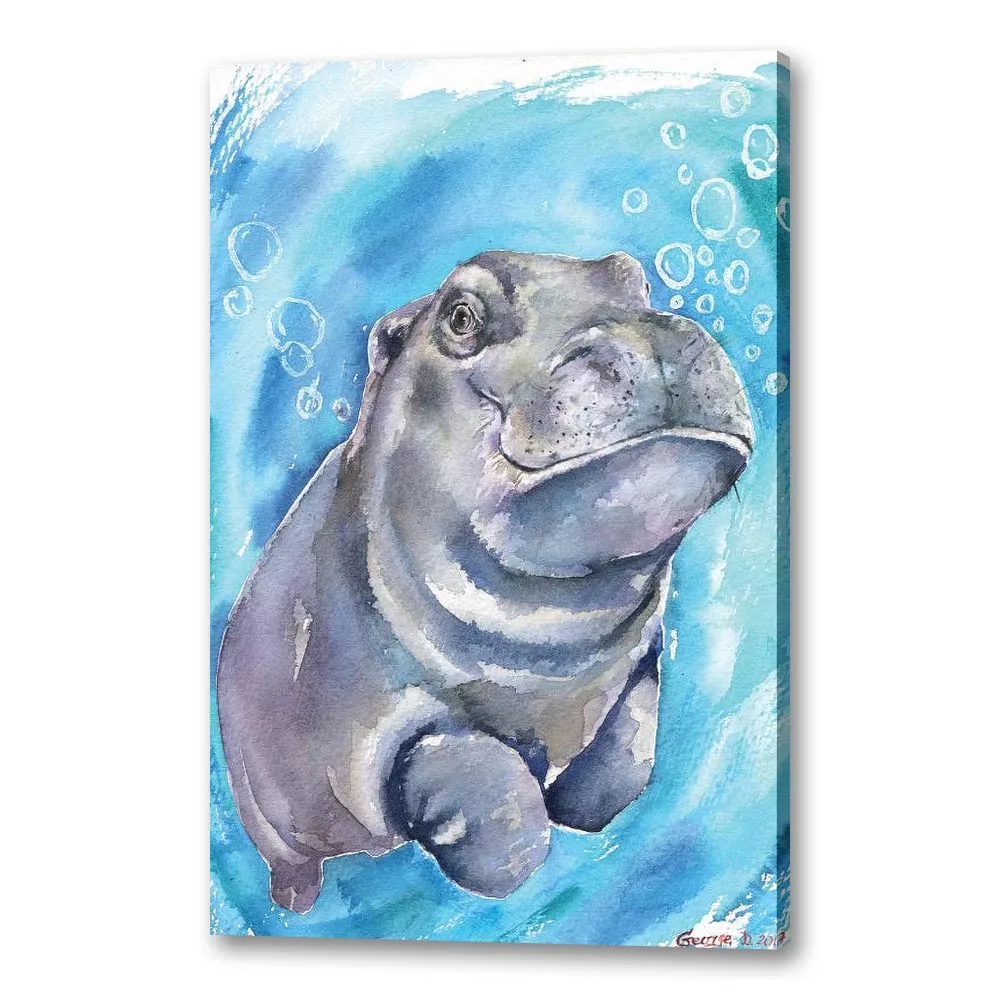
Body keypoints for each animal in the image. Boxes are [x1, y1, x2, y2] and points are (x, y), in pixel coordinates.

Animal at [216, 250, 753, 913]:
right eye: (461, 315)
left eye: (636, 279)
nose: (649, 333)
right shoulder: (381, 723)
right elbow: (499, 812)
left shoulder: (638, 661)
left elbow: (625, 765)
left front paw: (576, 802)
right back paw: (297, 902)